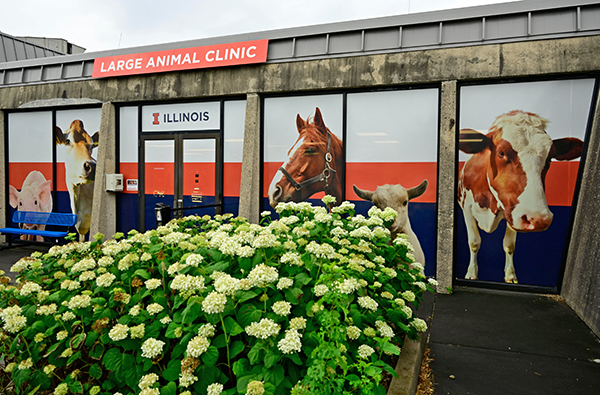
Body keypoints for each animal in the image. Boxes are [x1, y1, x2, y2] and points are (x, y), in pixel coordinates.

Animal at [460, 111, 580, 284]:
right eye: (501, 153)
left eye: (550, 158)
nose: (539, 220)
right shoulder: (467, 208)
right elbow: (474, 242)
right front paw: (471, 273)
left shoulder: (513, 212)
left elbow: (509, 245)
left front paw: (510, 275)